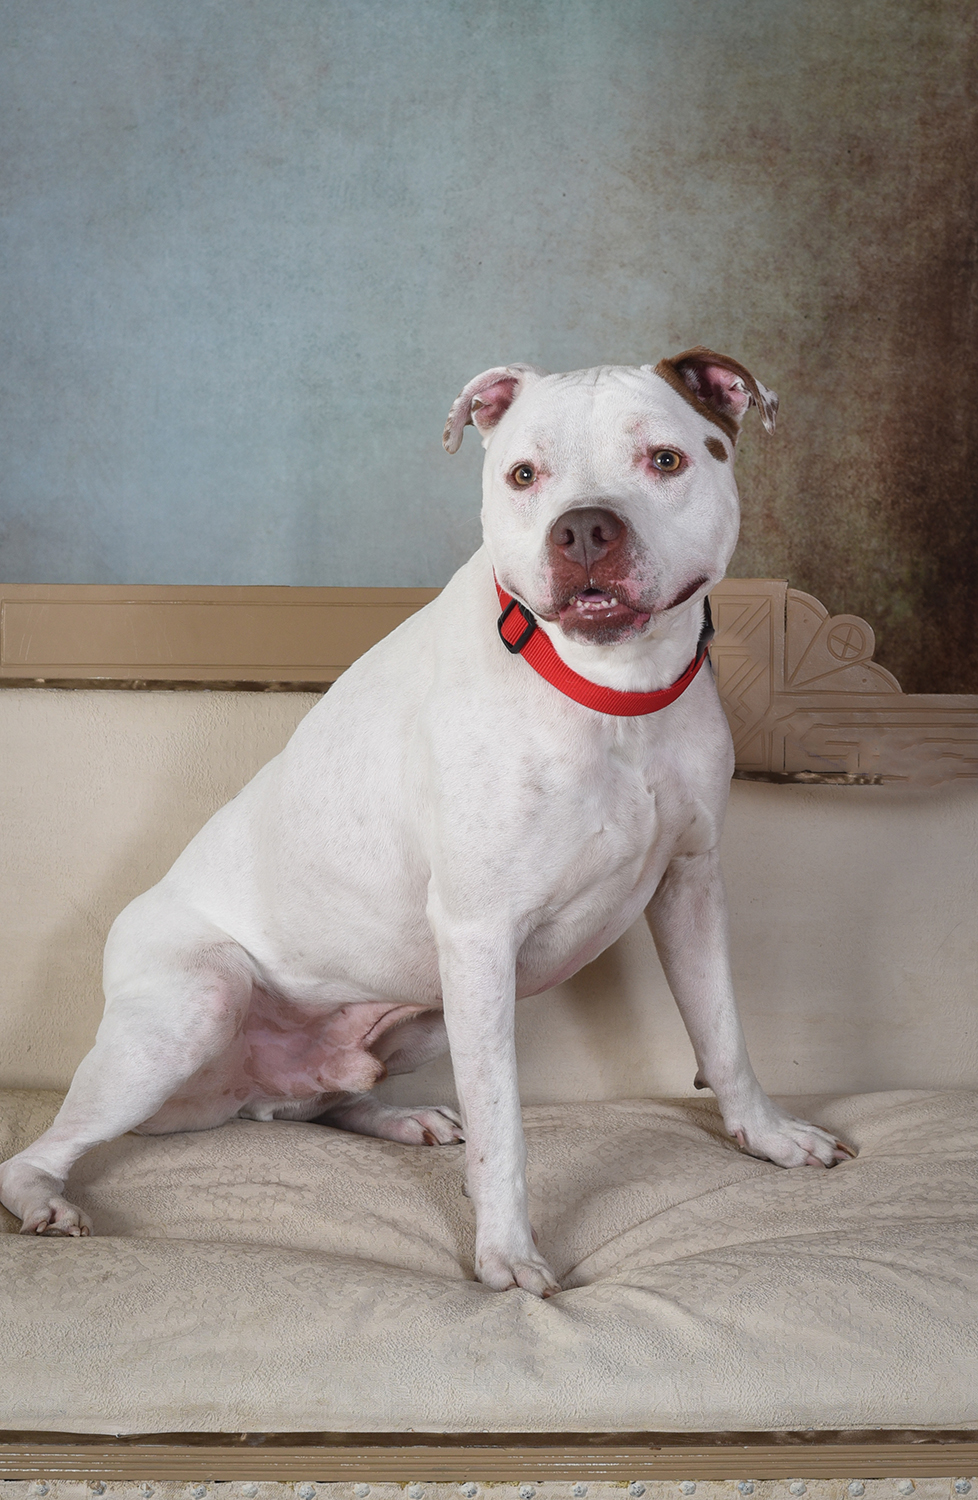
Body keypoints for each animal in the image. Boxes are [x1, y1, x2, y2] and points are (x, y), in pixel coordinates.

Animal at [0, 348, 853, 1295]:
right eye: (524, 475)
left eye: (665, 460)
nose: (584, 531)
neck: (610, 691)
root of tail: (239, 1092)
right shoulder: (482, 937)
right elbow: (504, 1122)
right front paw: (507, 1254)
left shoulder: (691, 886)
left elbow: (723, 1031)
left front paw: (766, 1136)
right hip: (200, 1003)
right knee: (34, 1154)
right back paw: (44, 1200)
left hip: (422, 1015)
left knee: (322, 1101)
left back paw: (396, 1120)